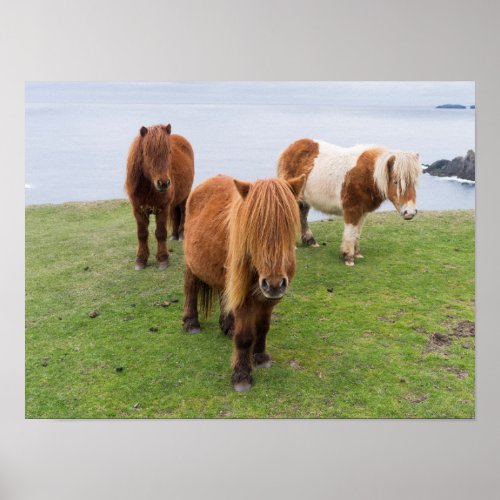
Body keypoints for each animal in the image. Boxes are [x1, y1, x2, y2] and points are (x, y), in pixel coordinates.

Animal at [124, 123, 194, 270]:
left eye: (169, 152)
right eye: (146, 153)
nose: (164, 183)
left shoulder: (162, 209)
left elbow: (160, 233)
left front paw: (162, 259)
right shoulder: (138, 210)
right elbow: (142, 234)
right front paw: (141, 260)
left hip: (184, 196)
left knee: (183, 212)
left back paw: (181, 235)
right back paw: (174, 235)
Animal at [183, 174, 304, 392]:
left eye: (288, 226)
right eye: (254, 229)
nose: (274, 284)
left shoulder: (269, 300)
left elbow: (263, 327)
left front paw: (260, 357)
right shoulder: (245, 299)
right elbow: (245, 336)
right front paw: (241, 375)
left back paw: (227, 326)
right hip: (191, 265)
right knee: (190, 289)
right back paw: (191, 323)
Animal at [280, 139, 420, 266]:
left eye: (413, 182)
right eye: (396, 181)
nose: (409, 213)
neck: (368, 175)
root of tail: (292, 147)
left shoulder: (362, 211)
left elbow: (357, 232)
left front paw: (356, 253)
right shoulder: (352, 210)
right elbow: (350, 232)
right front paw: (348, 257)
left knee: (302, 215)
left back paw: (310, 241)